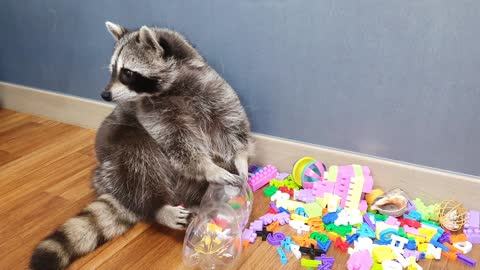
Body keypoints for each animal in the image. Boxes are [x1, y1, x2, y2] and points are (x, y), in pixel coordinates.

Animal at [30, 21, 253, 270]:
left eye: (127, 73)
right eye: (113, 70)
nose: (104, 94)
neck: (173, 86)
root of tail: (111, 185)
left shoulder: (211, 87)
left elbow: (230, 121)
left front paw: (240, 157)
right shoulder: (152, 114)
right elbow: (178, 143)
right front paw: (208, 168)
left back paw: (199, 204)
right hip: (119, 150)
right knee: (141, 158)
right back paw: (158, 207)